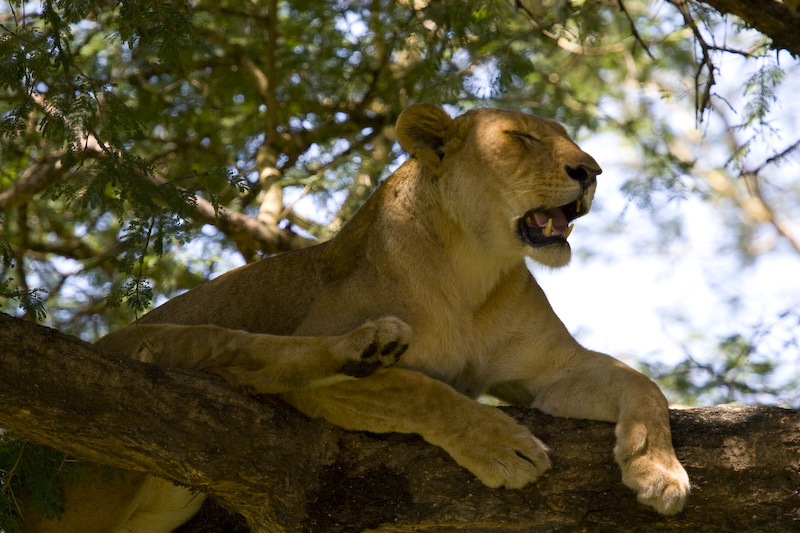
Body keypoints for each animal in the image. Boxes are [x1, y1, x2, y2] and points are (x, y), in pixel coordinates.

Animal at [25, 102, 688, 528]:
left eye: (567, 138)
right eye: (521, 138)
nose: (591, 172)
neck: (473, 268)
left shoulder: (550, 372)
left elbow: (642, 384)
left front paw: (657, 471)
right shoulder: (324, 386)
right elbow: (420, 390)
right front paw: (502, 445)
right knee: (250, 358)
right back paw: (365, 346)